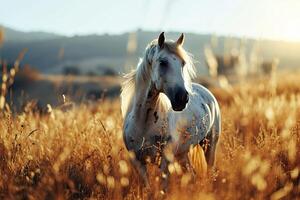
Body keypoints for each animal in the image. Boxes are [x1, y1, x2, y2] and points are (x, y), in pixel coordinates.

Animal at [120, 31, 221, 188]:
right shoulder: (138, 162)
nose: (182, 98)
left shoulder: (165, 160)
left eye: (183, 63)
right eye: (163, 62)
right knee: (192, 173)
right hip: (183, 152)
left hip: (209, 145)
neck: (143, 123)